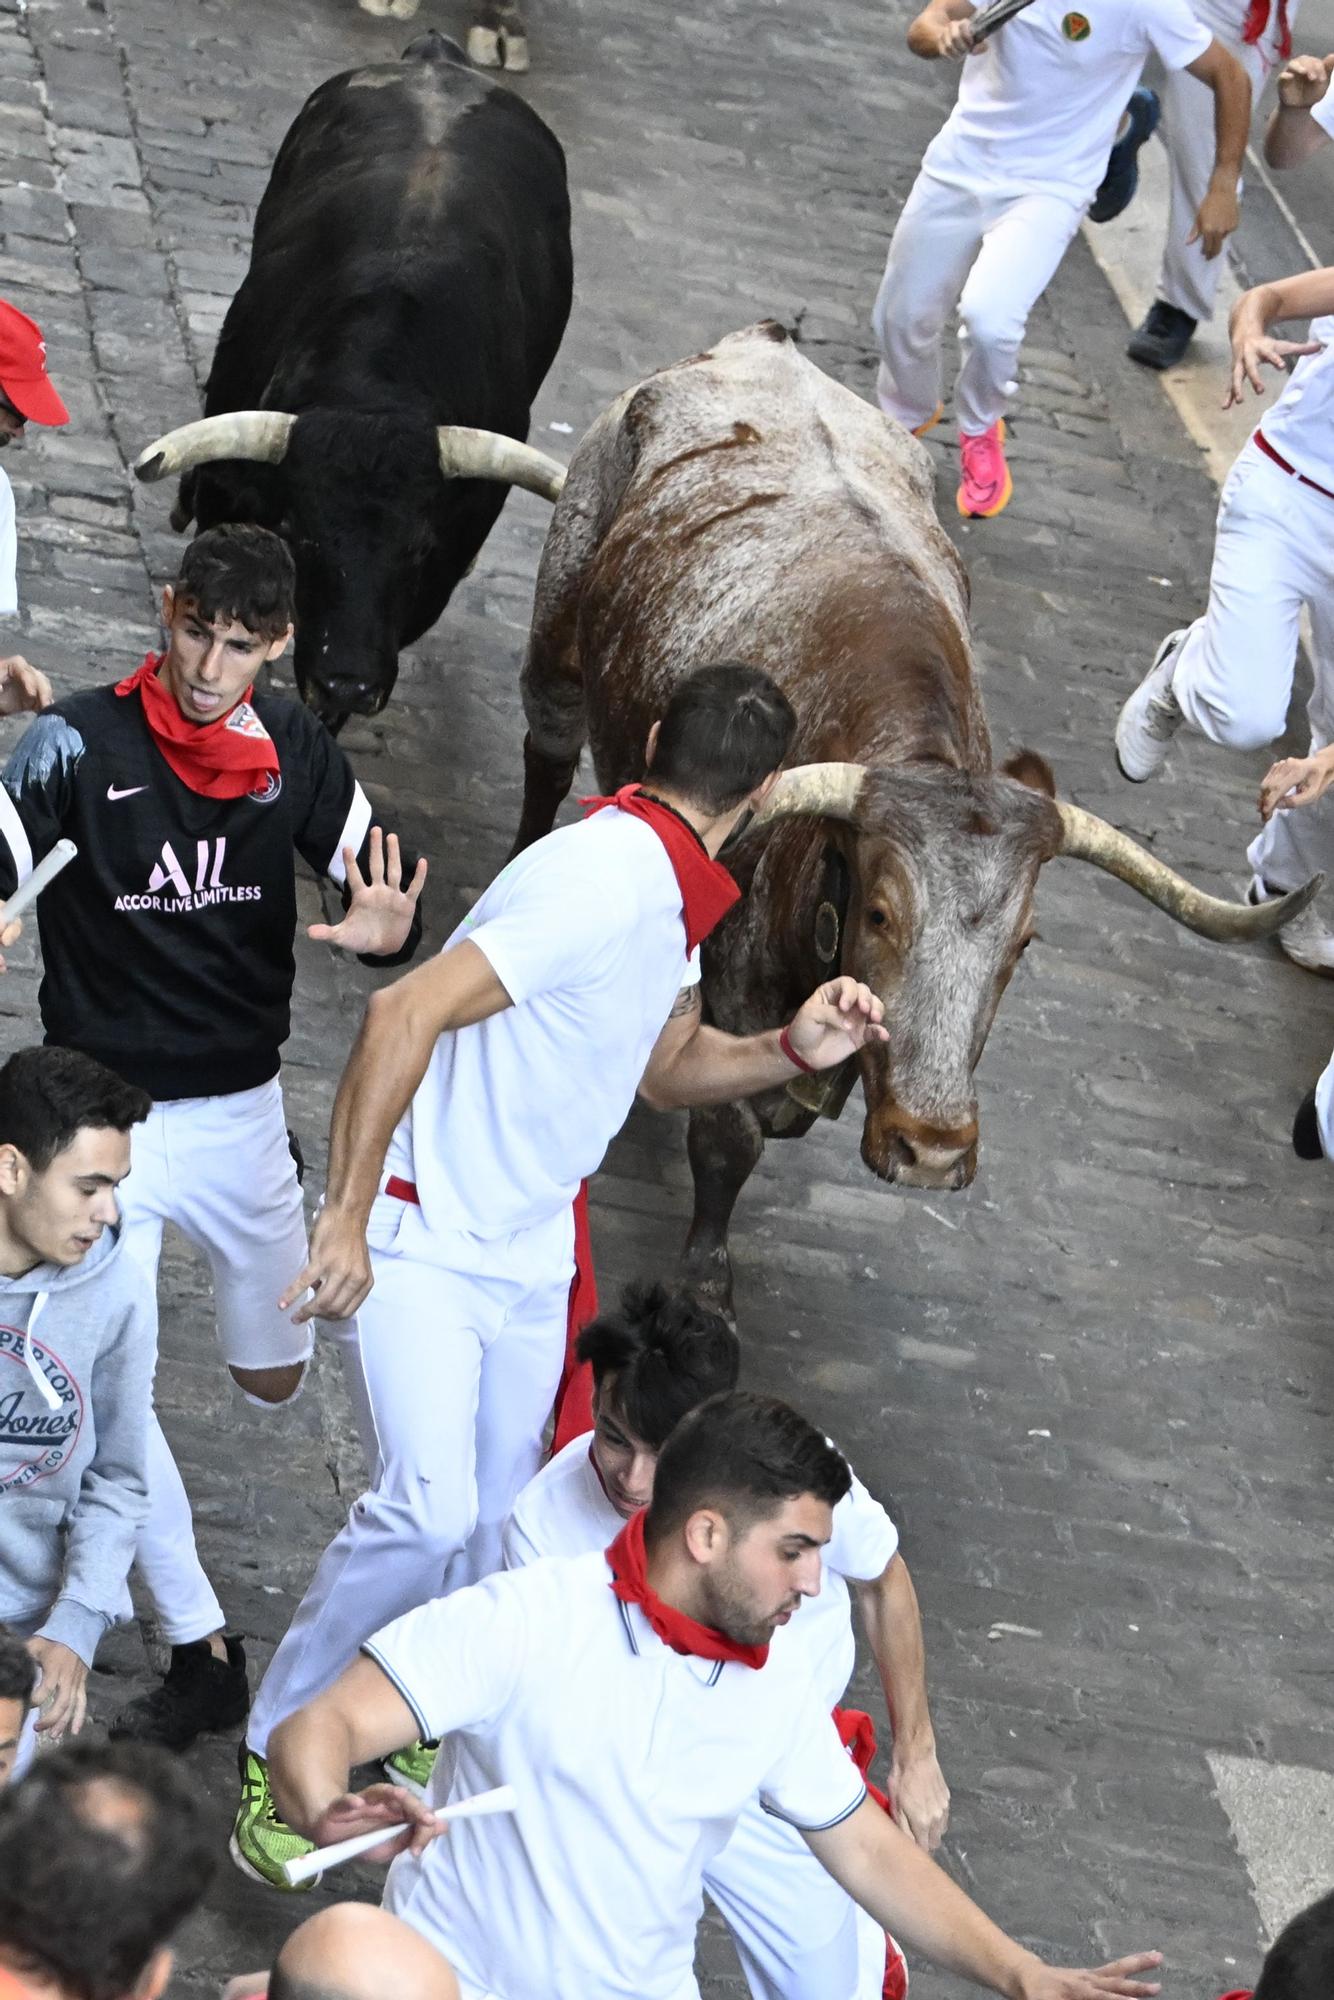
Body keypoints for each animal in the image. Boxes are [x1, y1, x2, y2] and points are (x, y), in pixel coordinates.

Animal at [474, 322, 1320, 1304]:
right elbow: (726, 1142)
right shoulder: (732, 980)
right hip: (560, 629)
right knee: (545, 752)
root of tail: (759, 343)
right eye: (880, 913)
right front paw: (706, 1286)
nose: (933, 1150)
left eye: (1024, 943)